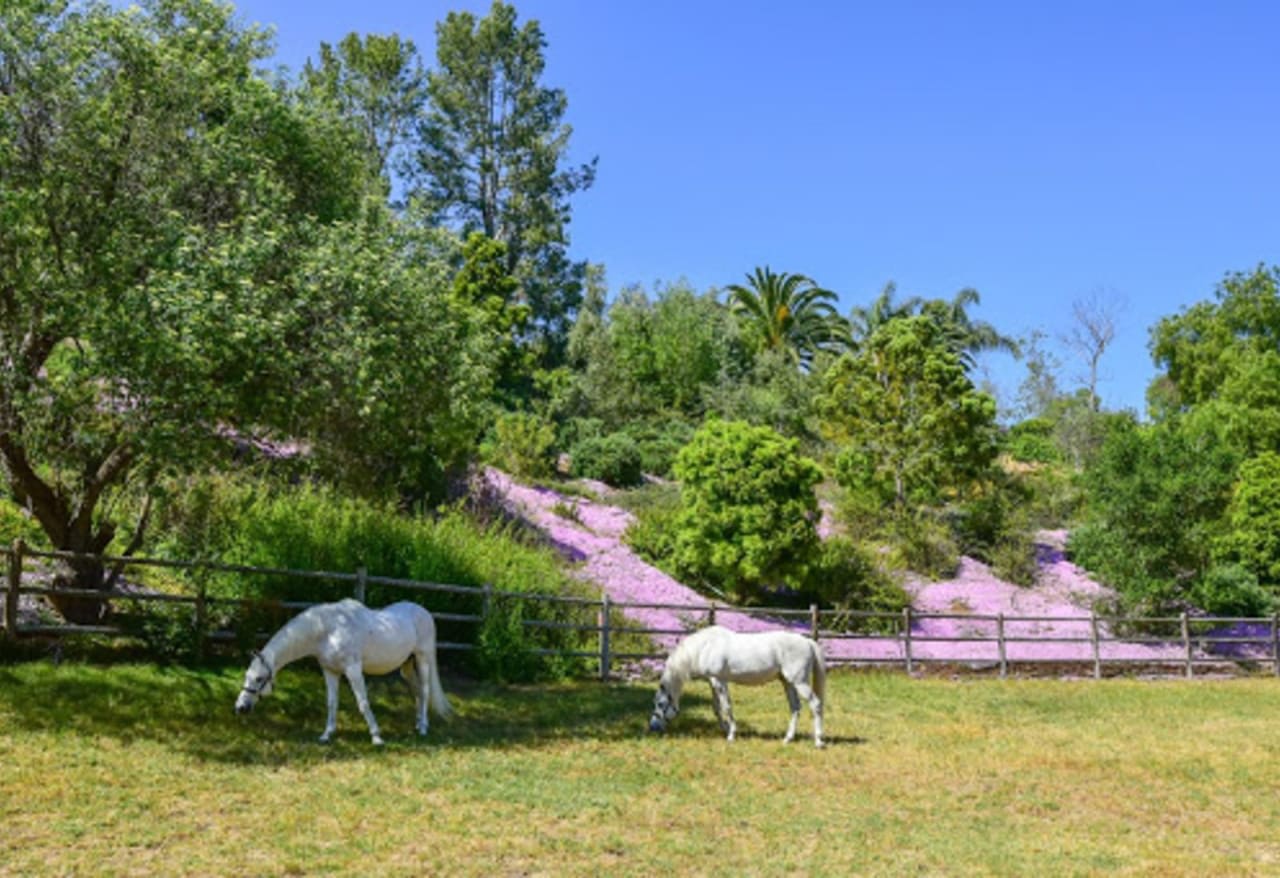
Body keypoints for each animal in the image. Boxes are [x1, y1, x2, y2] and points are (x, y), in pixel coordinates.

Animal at [236, 598, 455, 747]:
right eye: (247, 676)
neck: (328, 630)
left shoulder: (353, 669)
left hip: (423, 658)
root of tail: (423, 612)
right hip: (407, 666)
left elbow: (363, 702)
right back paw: (418, 724)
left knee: (425, 691)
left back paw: (423, 728)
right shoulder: (330, 671)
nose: (240, 708)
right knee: (417, 692)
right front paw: (326, 735)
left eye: (259, 678)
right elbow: (332, 703)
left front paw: (376, 737)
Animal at [650, 627, 829, 747]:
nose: (653, 727)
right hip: (788, 682)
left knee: (816, 704)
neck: (704, 647)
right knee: (795, 708)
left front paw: (731, 735)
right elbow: (716, 708)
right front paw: (725, 729)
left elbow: (727, 707)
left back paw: (819, 741)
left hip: (799, 682)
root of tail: (807, 642)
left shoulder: (720, 681)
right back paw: (788, 739)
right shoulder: (713, 682)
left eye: (660, 704)